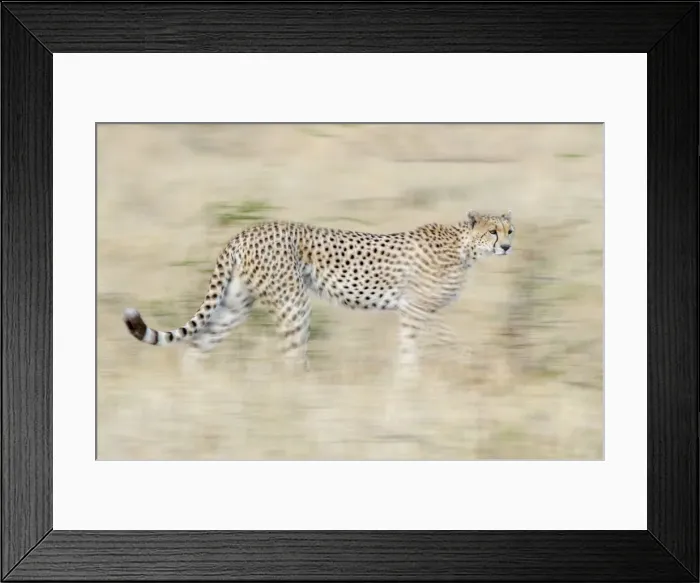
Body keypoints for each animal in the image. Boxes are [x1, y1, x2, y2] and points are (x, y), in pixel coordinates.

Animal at [123, 210, 514, 374]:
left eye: (510, 230)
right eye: (493, 231)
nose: (508, 246)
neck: (465, 247)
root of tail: (247, 231)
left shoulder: (416, 311)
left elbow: (414, 347)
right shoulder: (418, 308)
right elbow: (440, 340)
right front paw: (468, 361)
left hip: (236, 305)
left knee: (198, 346)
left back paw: (194, 392)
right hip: (292, 303)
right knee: (292, 356)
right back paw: (305, 396)